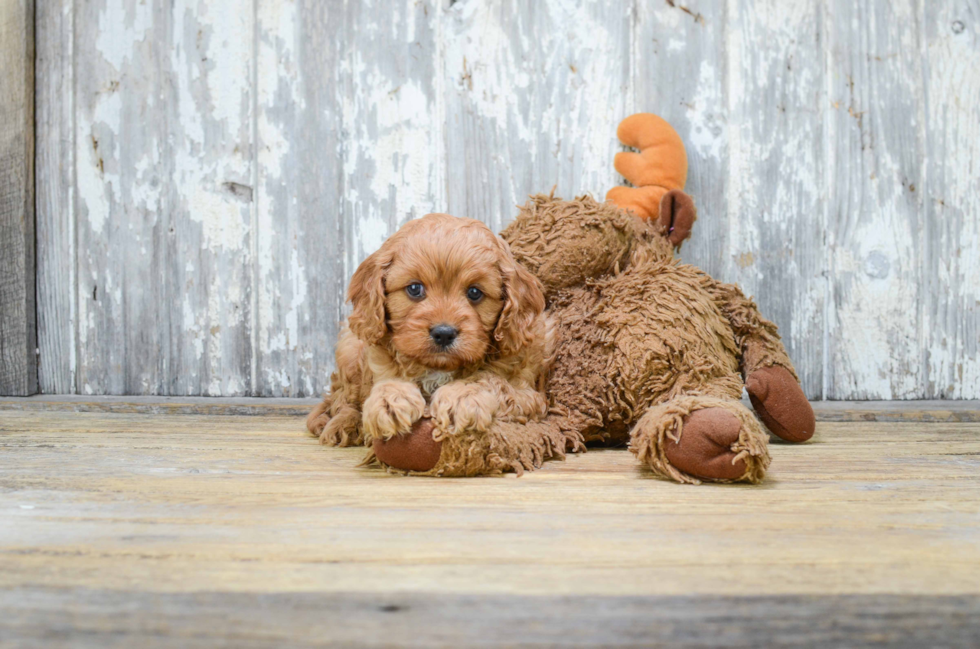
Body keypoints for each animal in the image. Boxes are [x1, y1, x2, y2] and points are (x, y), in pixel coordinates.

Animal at [308, 213, 552, 450]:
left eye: (475, 292)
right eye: (415, 288)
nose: (444, 333)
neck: (438, 368)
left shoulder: (529, 395)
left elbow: (488, 378)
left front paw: (460, 394)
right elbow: (386, 380)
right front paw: (390, 398)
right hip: (349, 347)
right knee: (342, 397)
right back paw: (342, 424)